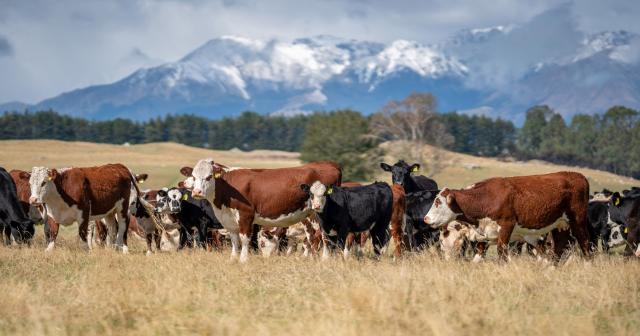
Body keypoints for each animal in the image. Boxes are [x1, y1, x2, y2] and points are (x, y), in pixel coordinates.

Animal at [180, 160, 340, 262]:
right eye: (193, 176)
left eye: (208, 177)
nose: (197, 192)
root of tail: (330, 164)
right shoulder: (229, 219)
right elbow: (234, 240)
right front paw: (233, 258)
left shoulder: (246, 215)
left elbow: (245, 239)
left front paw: (243, 259)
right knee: (315, 236)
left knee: (323, 236)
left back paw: (325, 258)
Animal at [424, 172, 592, 262]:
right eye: (441, 242)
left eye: (438, 202)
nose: (426, 218)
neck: (485, 198)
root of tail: (577, 176)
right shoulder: (485, 238)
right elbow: (477, 259)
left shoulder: (506, 228)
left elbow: (502, 254)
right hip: (559, 225)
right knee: (559, 248)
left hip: (577, 221)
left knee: (585, 244)